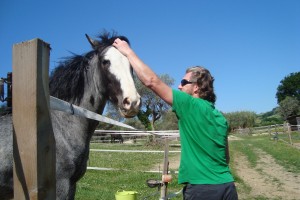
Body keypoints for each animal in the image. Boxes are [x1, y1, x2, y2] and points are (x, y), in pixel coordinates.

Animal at [0, 32, 141, 199]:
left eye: (131, 65)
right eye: (105, 62)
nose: (132, 102)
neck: (60, 123)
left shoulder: (72, 185)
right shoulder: (61, 186)